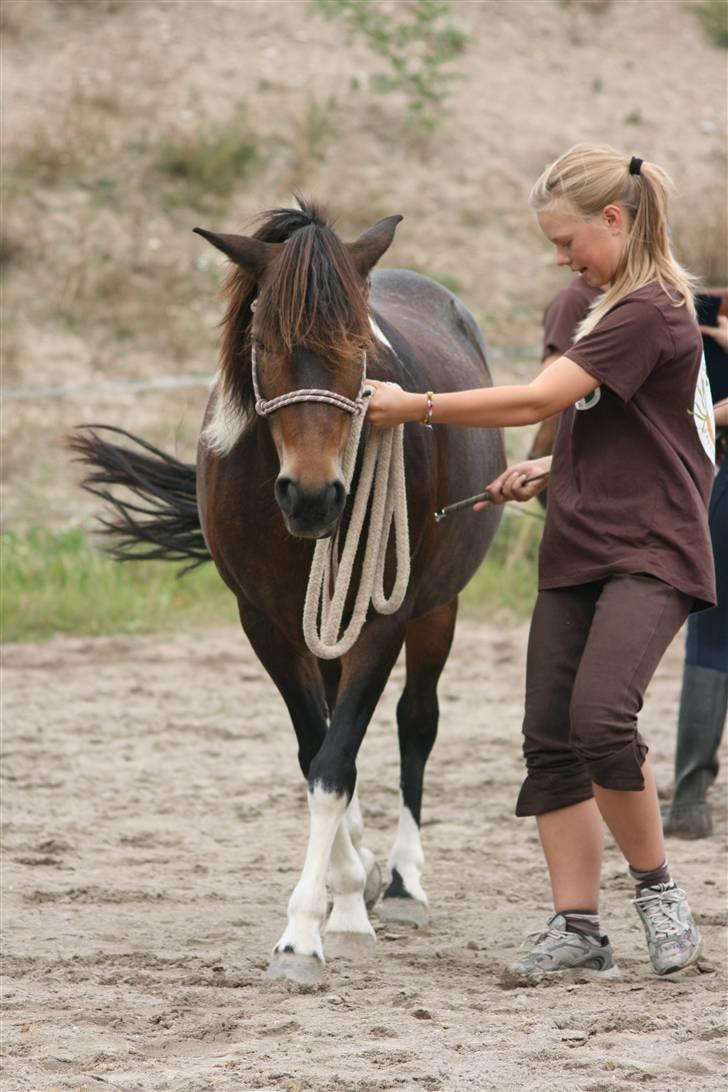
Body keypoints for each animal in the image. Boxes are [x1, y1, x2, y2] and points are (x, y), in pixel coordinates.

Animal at [70, 200, 506, 987]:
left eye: (358, 344)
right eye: (262, 340)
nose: (313, 496)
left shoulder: (382, 620)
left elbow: (335, 765)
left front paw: (310, 931)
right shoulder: (267, 624)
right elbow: (317, 756)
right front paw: (341, 893)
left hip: (437, 609)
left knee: (416, 723)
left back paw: (402, 883)